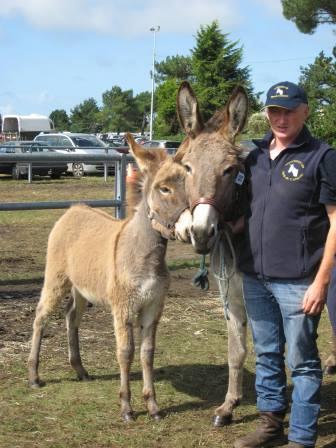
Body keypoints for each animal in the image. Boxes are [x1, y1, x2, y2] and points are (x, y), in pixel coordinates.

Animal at [27, 135, 186, 422]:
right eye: (164, 189)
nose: (194, 226)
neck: (145, 255)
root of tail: (74, 209)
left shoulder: (153, 307)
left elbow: (147, 353)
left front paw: (153, 406)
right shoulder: (123, 308)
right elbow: (125, 352)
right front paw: (126, 408)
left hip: (81, 288)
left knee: (71, 317)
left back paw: (80, 370)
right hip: (56, 278)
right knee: (41, 316)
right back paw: (34, 376)